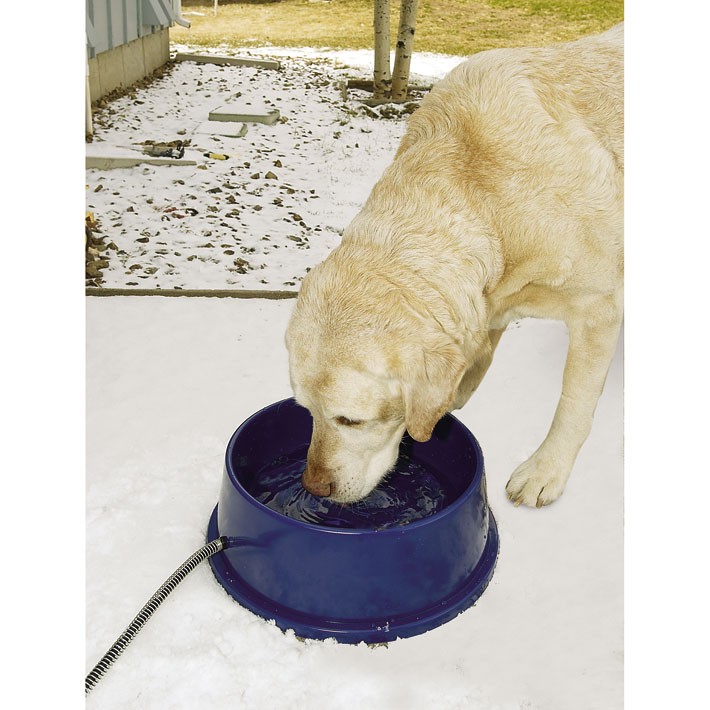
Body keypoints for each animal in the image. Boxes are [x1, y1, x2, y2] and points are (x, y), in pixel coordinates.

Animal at [286, 23, 624, 512]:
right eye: (305, 411)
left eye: (351, 420)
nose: (314, 488)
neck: (483, 194)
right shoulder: (489, 299)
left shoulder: (598, 308)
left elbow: (573, 403)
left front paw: (546, 471)